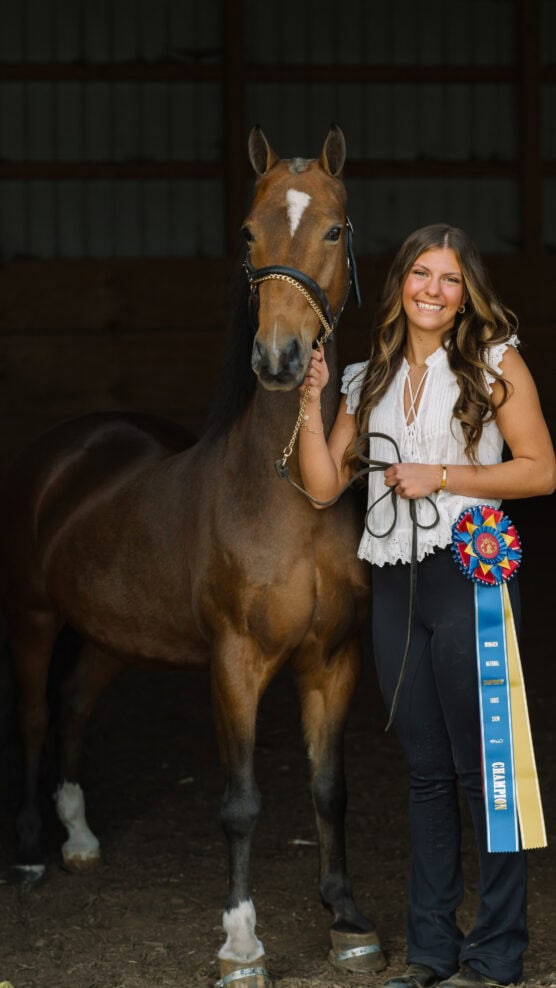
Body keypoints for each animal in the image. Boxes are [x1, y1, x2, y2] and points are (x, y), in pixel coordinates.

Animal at [0, 126, 385, 987]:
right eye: (246, 233)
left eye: (334, 230)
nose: (279, 358)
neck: (289, 494)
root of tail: (67, 449)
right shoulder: (235, 663)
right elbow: (240, 803)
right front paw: (241, 944)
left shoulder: (334, 658)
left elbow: (333, 788)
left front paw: (347, 920)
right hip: (34, 618)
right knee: (37, 716)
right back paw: (34, 853)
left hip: (112, 635)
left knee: (75, 705)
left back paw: (81, 840)